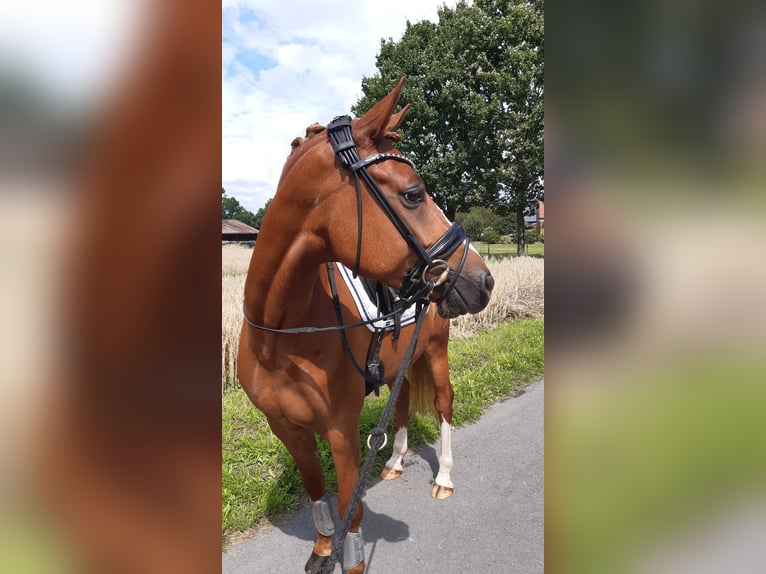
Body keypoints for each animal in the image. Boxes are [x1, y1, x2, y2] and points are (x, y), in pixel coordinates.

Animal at [237, 77, 496, 574]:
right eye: (413, 194)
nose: (484, 280)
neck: (280, 338)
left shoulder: (340, 431)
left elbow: (350, 511)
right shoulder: (287, 428)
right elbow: (318, 496)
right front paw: (322, 549)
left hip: (435, 354)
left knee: (444, 403)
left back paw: (444, 477)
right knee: (401, 405)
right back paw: (393, 462)